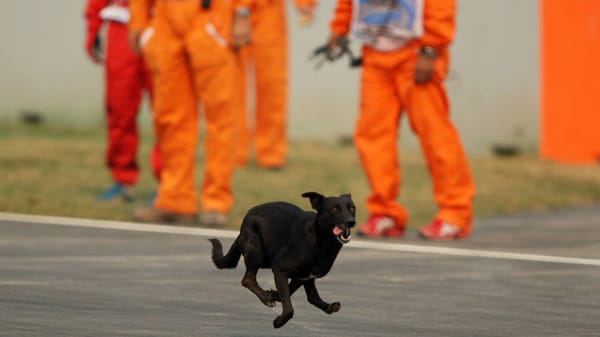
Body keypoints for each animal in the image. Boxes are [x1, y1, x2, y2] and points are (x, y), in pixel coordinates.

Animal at [209, 192, 354, 328]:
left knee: (311, 296)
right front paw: (279, 321)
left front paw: (274, 294)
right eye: (334, 209)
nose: (351, 222)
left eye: (352, 208)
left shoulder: (304, 277)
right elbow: (289, 307)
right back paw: (266, 298)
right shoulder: (280, 270)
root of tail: (248, 215)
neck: (319, 240)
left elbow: (296, 294)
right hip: (257, 253)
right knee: (247, 280)